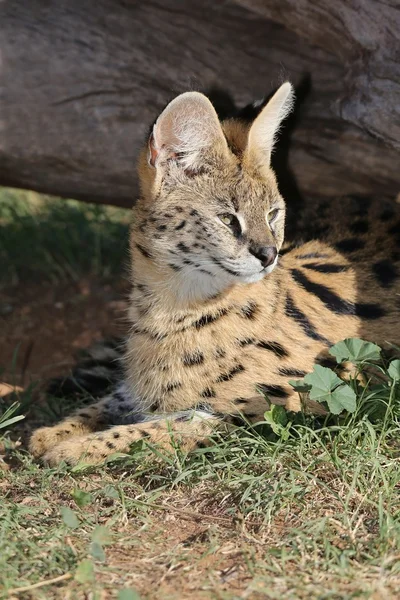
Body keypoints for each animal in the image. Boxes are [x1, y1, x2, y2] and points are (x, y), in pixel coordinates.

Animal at [28, 81, 400, 464]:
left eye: (272, 214)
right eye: (227, 219)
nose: (270, 254)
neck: (168, 307)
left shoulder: (269, 410)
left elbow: (159, 429)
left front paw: (75, 448)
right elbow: (111, 402)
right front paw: (53, 433)